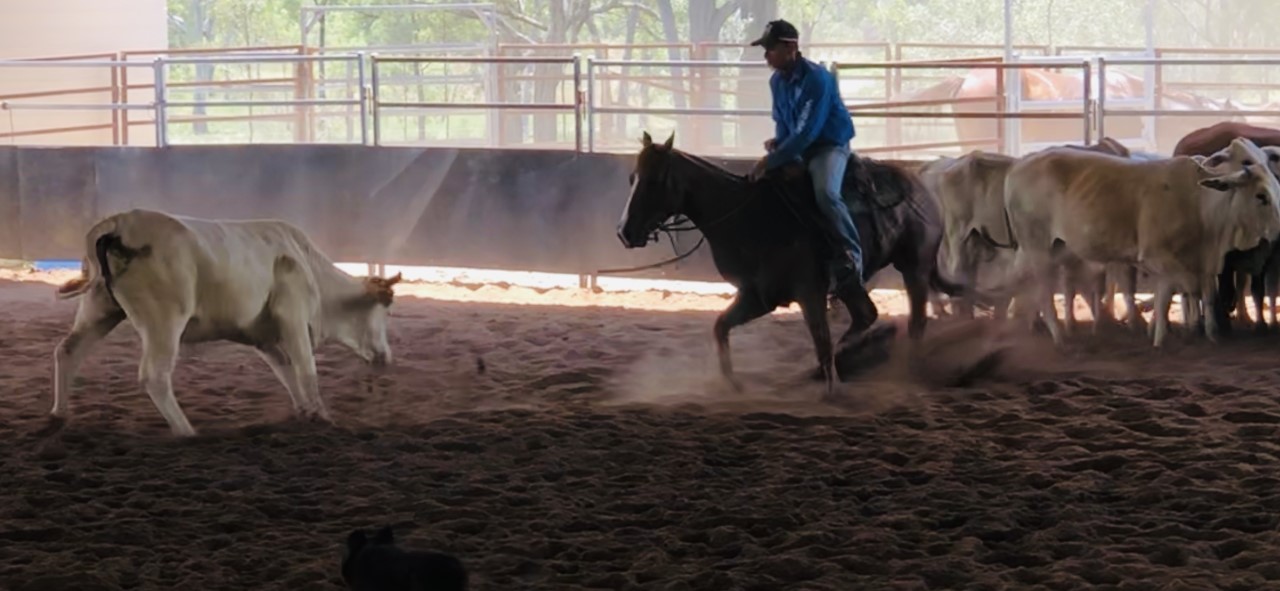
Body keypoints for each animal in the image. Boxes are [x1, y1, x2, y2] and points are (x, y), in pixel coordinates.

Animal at [51, 208, 401, 437]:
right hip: (164, 321)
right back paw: (187, 431)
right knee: (155, 376)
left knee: (68, 351)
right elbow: (305, 368)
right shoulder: (293, 315)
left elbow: (285, 370)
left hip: (99, 307)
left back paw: (60, 414)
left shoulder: (262, 338)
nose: (386, 357)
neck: (309, 266)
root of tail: (119, 224)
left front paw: (306, 411)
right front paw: (324, 416)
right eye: (385, 312)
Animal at [615, 131, 967, 399]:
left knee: (916, 321)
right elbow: (721, 327)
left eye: (655, 181)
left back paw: (907, 370)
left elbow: (820, 338)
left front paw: (832, 390)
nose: (624, 232)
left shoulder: (809, 291)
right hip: (853, 282)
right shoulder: (758, 295)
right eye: (632, 178)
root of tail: (920, 183)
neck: (745, 215)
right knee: (866, 315)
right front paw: (732, 384)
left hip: (914, 267)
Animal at [1000, 137, 1280, 348]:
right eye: (1261, 196)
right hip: (1037, 246)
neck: (1200, 202)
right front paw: (1171, 334)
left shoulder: (1200, 262)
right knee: (1043, 290)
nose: (1278, 232)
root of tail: (1019, 166)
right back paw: (1058, 336)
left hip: (1050, 246)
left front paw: (1192, 335)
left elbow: (1191, 295)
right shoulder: (1158, 257)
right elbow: (1183, 291)